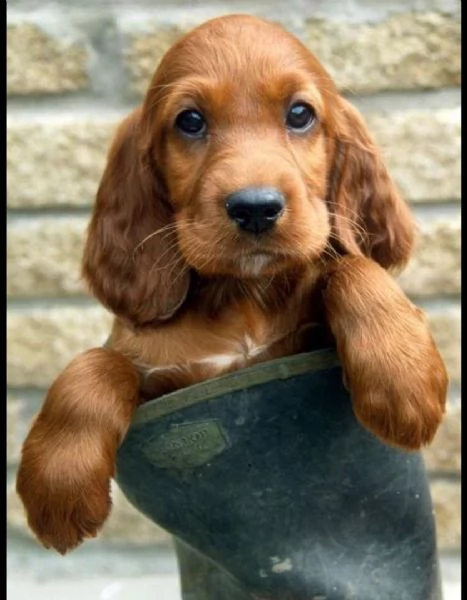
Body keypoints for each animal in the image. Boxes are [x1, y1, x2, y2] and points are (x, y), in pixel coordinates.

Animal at [16, 14, 450, 552]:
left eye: (300, 114)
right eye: (190, 121)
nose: (256, 208)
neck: (244, 295)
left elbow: (352, 267)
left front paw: (404, 378)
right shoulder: (160, 378)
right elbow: (95, 363)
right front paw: (57, 482)